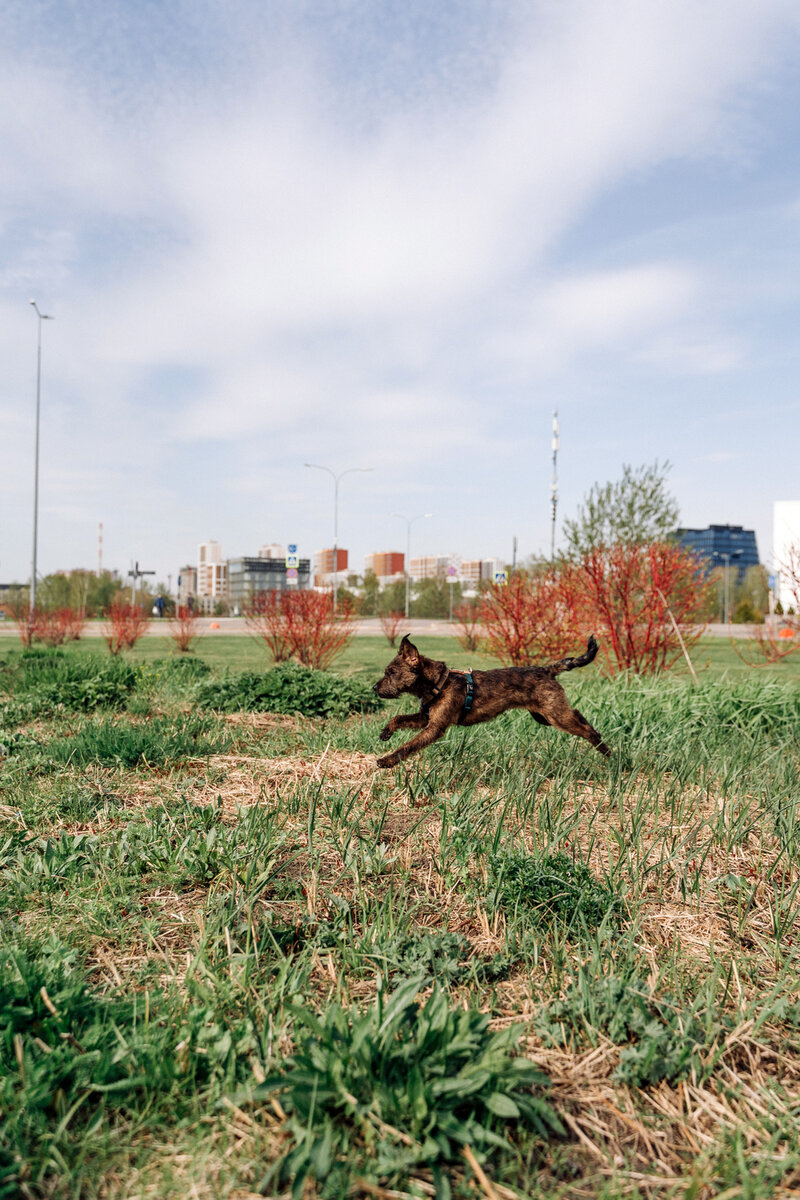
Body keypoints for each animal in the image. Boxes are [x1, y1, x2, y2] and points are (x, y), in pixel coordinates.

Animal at [371, 628, 609, 768]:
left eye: (391, 673)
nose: (374, 688)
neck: (440, 683)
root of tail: (547, 670)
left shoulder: (434, 728)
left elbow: (408, 746)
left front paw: (387, 760)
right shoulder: (424, 718)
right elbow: (398, 718)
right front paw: (386, 732)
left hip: (555, 715)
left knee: (584, 728)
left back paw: (605, 750)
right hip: (546, 716)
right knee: (579, 715)